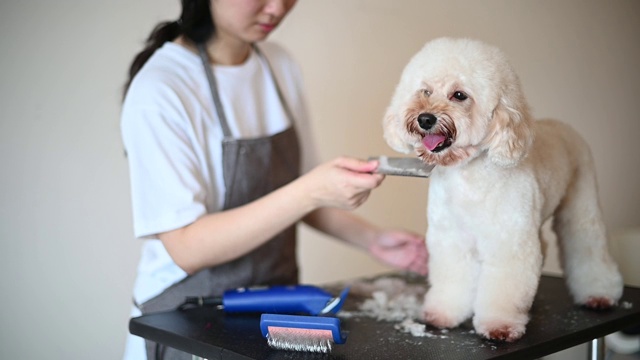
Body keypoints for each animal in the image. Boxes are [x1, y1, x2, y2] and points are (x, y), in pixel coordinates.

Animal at [382, 38, 624, 342]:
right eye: (425, 91)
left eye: (459, 95)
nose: (425, 118)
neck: (468, 174)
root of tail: (563, 126)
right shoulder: (451, 239)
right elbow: (453, 279)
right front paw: (443, 314)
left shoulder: (510, 241)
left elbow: (505, 287)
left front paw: (500, 325)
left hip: (581, 202)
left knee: (587, 245)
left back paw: (600, 293)